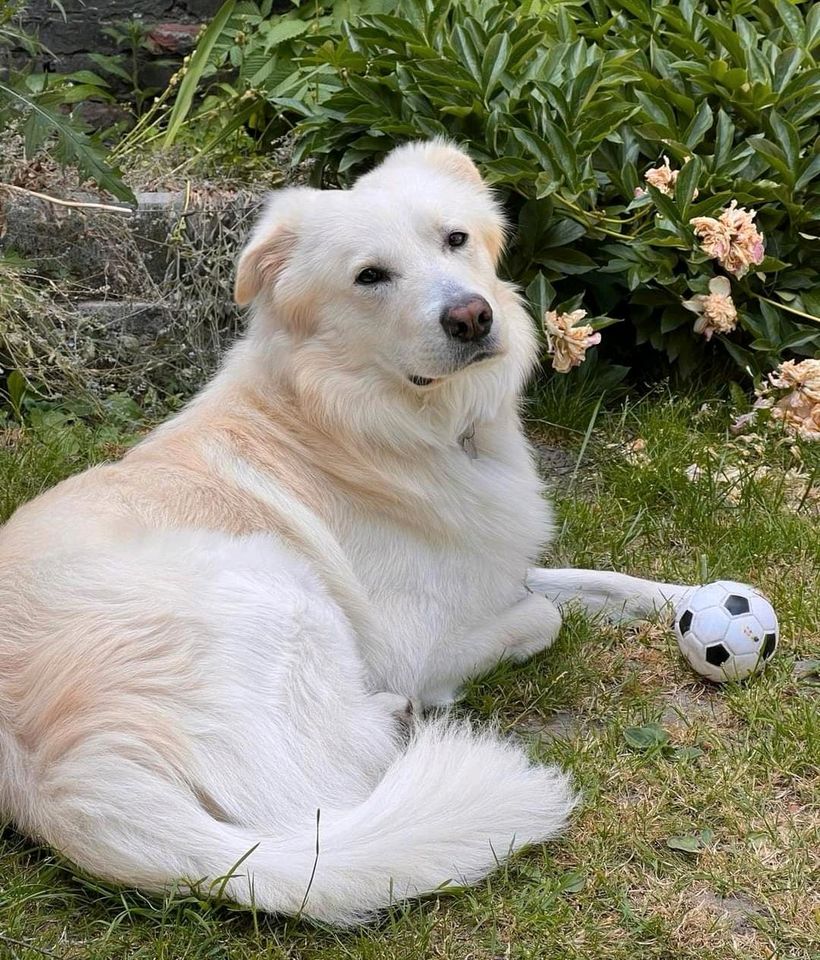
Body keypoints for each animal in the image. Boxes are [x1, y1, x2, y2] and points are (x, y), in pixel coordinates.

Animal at [0, 141, 684, 924]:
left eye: (455, 239)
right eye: (370, 277)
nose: (472, 317)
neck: (356, 417)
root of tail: (65, 780)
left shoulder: (489, 565)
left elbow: (594, 582)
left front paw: (687, 601)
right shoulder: (420, 642)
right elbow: (544, 614)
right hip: (280, 592)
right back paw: (398, 719)